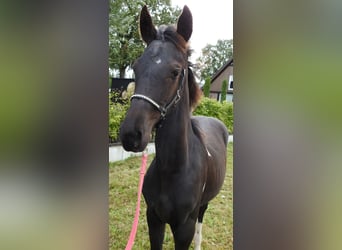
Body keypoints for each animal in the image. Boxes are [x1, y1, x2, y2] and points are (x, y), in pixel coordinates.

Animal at [119, 4, 228, 249]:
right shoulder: (153, 219)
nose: (131, 135)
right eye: (136, 67)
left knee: (201, 223)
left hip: (203, 206)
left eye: (176, 72)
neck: (174, 170)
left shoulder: (184, 228)